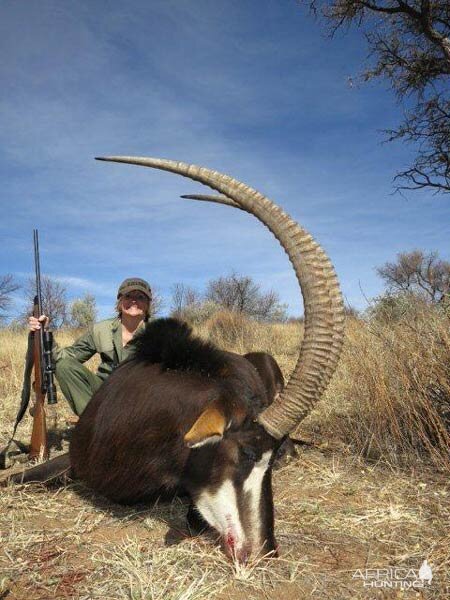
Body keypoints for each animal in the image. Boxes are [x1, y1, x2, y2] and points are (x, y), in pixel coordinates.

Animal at [13, 156, 344, 564]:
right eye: (247, 452)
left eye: (267, 460)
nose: (264, 551)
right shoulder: (74, 459)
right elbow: (14, 479)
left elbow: (193, 514)